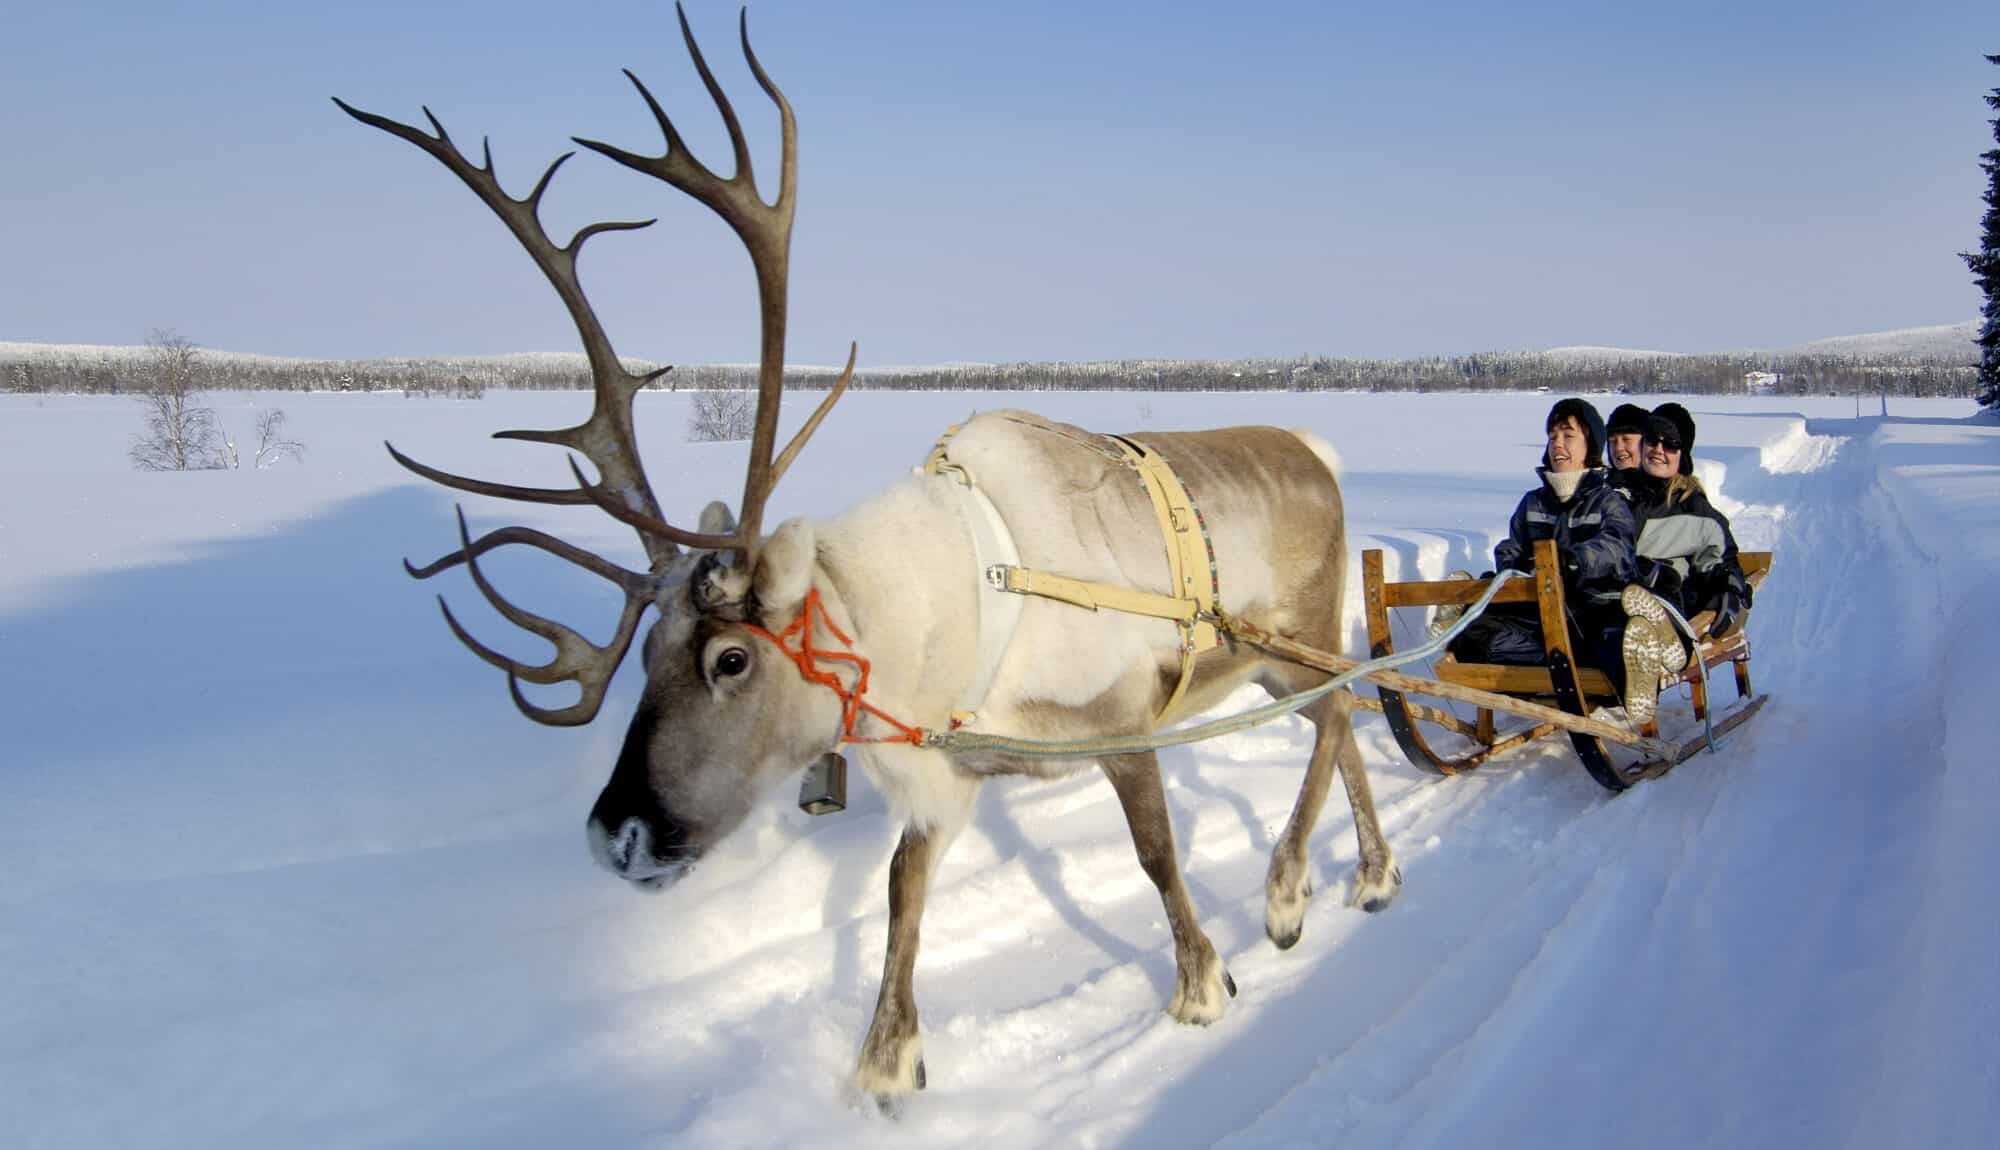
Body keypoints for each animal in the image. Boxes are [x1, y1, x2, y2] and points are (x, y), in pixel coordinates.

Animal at [338, 3, 1400, 1107]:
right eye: (644, 653)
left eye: (730, 657)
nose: (615, 834)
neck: (949, 613)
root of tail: (1314, 450)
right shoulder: (948, 769)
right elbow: (901, 887)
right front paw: (886, 1058)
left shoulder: (1115, 721)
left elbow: (1154, 853)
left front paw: (1199, 983)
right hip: (1276, 660)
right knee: (1348, 719)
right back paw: (1370, 874)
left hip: (1291, 638)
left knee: (1339, 712)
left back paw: (1290, 892)